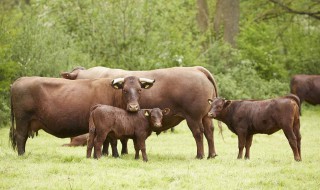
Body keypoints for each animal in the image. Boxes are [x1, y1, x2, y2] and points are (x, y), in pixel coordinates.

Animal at [9, 75, 154, 155]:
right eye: (124, 90)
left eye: (139, 89)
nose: (133, 107)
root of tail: (19, 80)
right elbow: (109, 141)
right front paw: (108, 154)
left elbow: (110, 141)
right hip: (22, 119)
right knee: (20, 137)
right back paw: (22, 155)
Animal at [60, 66, 220, 160]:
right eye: (125, 90)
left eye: (139, 90)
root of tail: (197, 69)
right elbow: (122, 139)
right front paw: (122, 152)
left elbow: (110, 139)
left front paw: (109, 154)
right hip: (206, 116)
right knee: (209, 132)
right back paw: (211, 154)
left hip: (194, 117)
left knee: (198, 134)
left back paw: (200, 155)